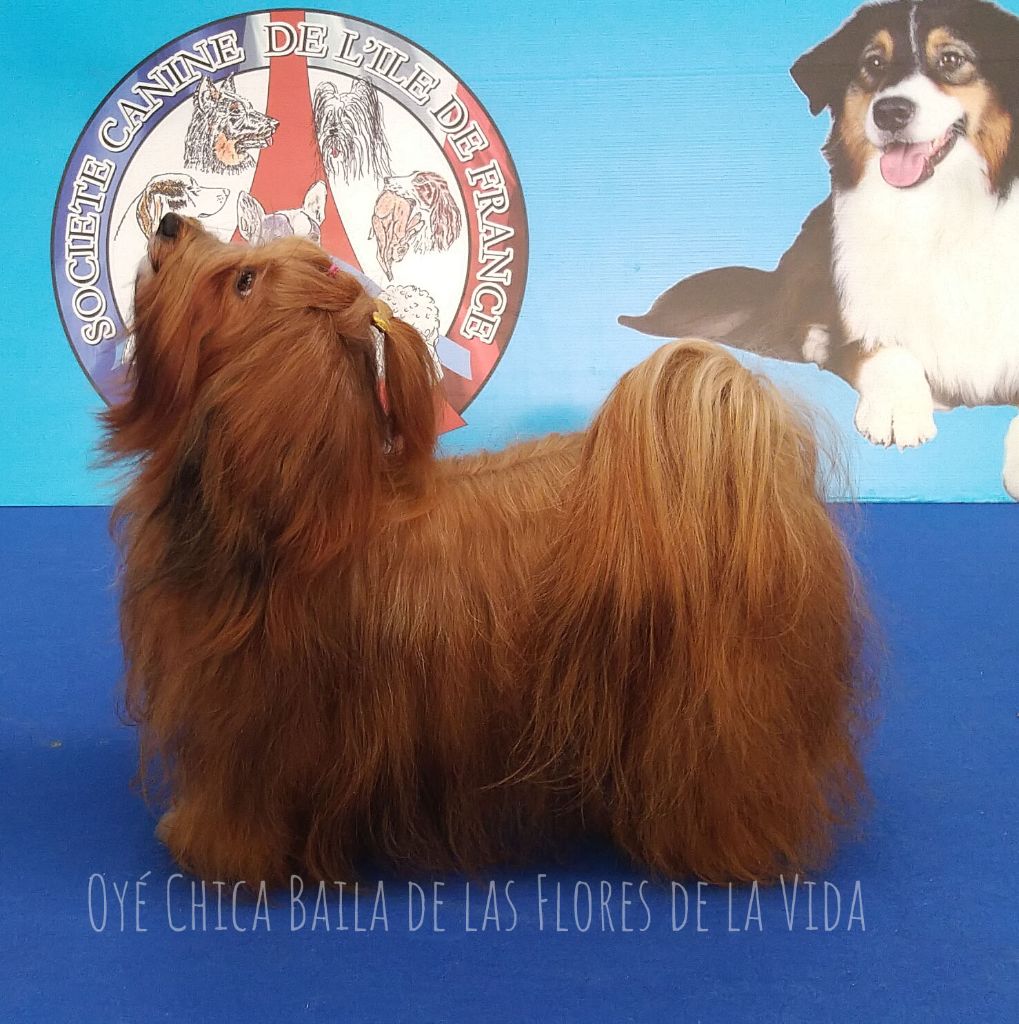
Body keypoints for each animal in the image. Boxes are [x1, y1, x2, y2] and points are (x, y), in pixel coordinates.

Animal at [101, 211, 868, 884]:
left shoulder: (254, 727)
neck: (308, 506)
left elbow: (242, 804)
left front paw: (213, 851)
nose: (168, 220)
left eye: (242, 282)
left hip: (717, 701)